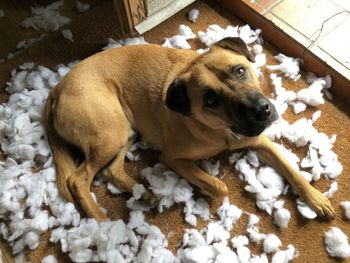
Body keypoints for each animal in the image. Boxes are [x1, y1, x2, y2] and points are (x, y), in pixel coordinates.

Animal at [43, 38, 334, 222]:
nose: (261, 111)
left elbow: (292, 171)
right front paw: (203, 189)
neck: (222, 131)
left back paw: (143, 194)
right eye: (211, 100)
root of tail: (57, 87)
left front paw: (316, 198)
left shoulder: (260, 141)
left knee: (111, 170)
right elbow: (220, 186)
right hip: (109, 134)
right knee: (78, 180)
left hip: (125, 130)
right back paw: (100, 223)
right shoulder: (174, 158)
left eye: (240, 71)